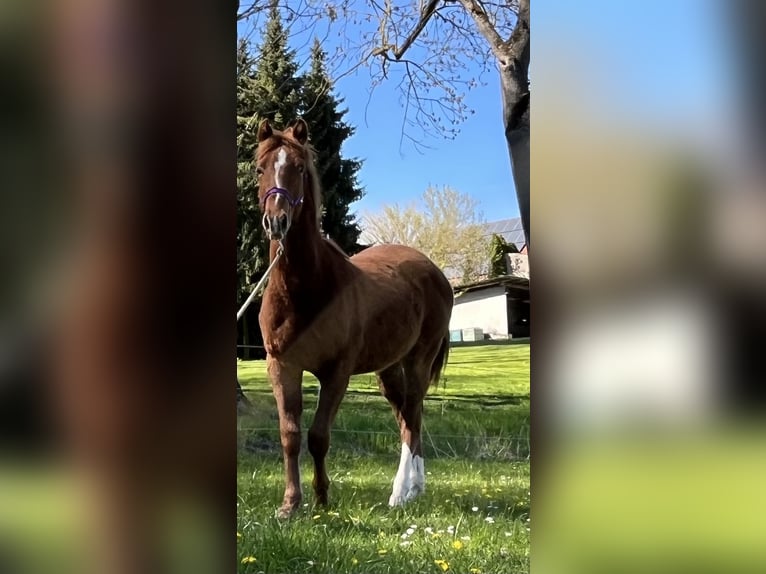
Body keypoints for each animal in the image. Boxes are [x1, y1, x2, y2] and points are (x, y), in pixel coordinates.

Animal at [255, 118, 454, 517]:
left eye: (299, 168)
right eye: (260, 169)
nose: (276, 222)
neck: (308, 289)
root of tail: (434, 271)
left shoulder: (337, 371)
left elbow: (318, 436)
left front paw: (322, 498)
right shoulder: (282, 365)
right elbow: (290, 435)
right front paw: (290, 504)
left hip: (419, 359)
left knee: (413, 414)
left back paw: (401, 492)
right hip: (389, 368)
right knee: (407, 416)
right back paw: (416, 488)